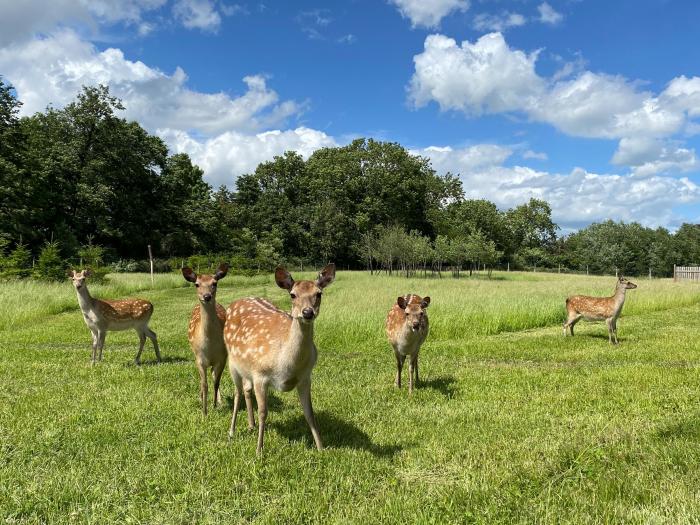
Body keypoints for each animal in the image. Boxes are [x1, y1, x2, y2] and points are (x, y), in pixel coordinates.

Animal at [183, 264, 230, 416]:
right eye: (197, 284)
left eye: (214, 283)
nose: (207, 296)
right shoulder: (199, 358)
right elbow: (205, 384)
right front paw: (204, 412)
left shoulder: (222, 357)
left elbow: (216, 382)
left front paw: (215, 405)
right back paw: (200, 397)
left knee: (214, 376)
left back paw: (219, 401)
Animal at [223, 264, 334, 452]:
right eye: (293, 294)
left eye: (319, 293)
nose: (307, 312)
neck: (288, 365)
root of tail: (234, 302)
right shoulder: (260, 374)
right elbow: (263, 412)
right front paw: (259, 450)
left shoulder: (305, 377)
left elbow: (309, 413)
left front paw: (321, 447)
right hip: (232, 362)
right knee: (237, 392)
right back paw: (232, 431)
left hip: (246, 367)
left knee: (246, 389)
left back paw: (251, 425)